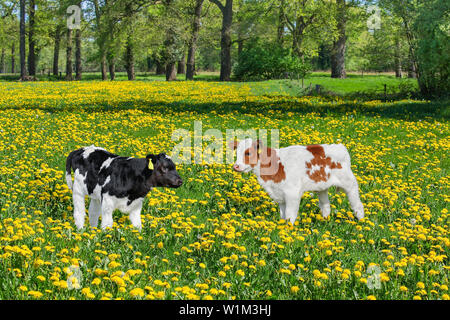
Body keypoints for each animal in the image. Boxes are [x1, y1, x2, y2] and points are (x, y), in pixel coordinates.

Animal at [230, 139, 364, 224]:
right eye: (236, 152)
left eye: (248, 153)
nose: (236, 166)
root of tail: (339, 146)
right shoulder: (280, 194)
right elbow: (283, 216)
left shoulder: (292, 193)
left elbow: (290, 215)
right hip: (322, 186)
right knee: (326, 206)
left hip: (349, 183)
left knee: (358, 205)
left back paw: (361, 222)